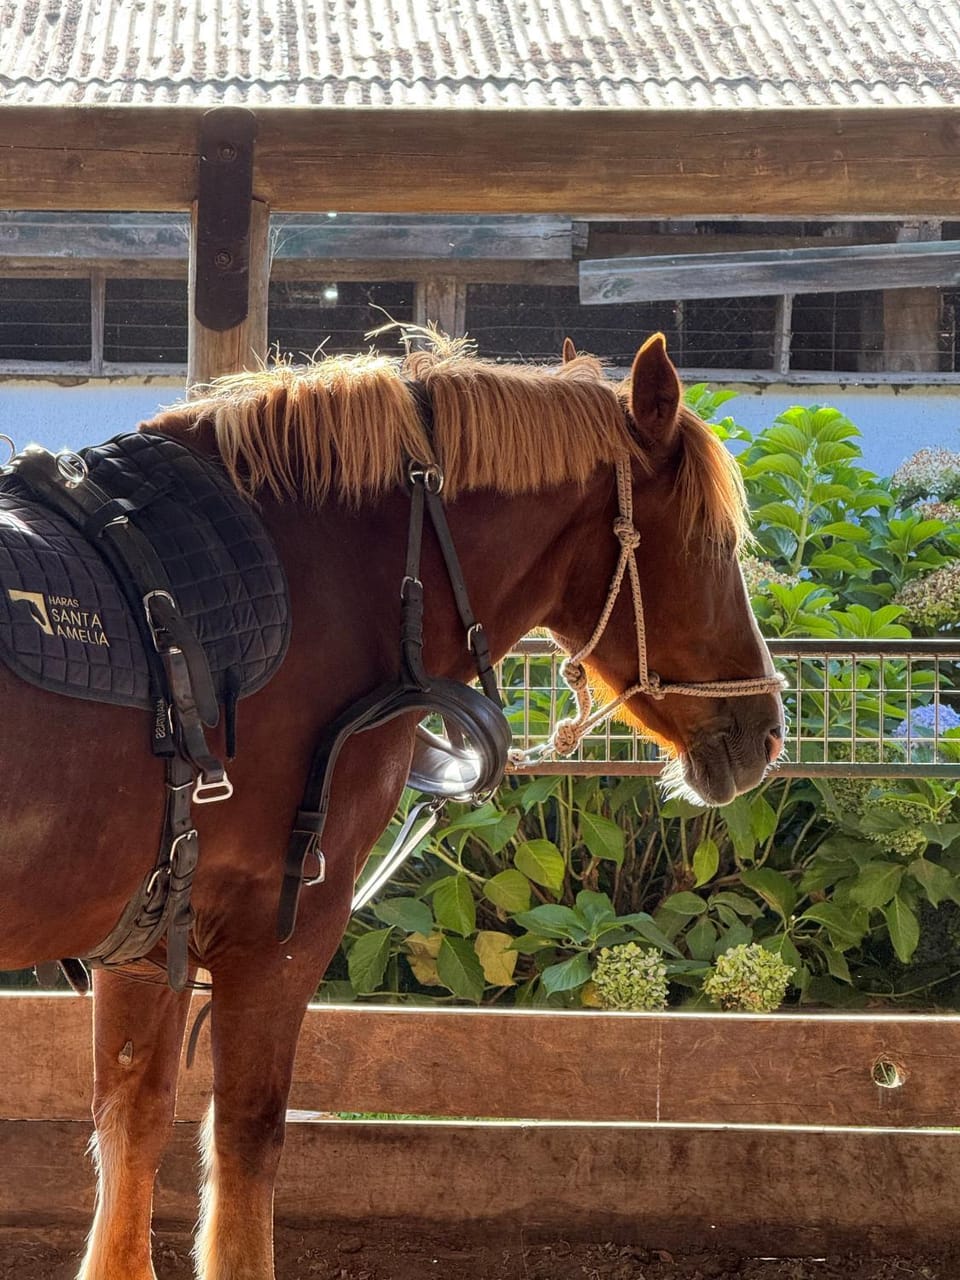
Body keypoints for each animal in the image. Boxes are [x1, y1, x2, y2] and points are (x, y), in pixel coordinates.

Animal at [0, 330, 783, 1280]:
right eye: (712, 541)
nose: (765, 730)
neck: (325, 581)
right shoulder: (279, 934)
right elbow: (245, 1145)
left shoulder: (148, 942)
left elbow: (133, 1133)